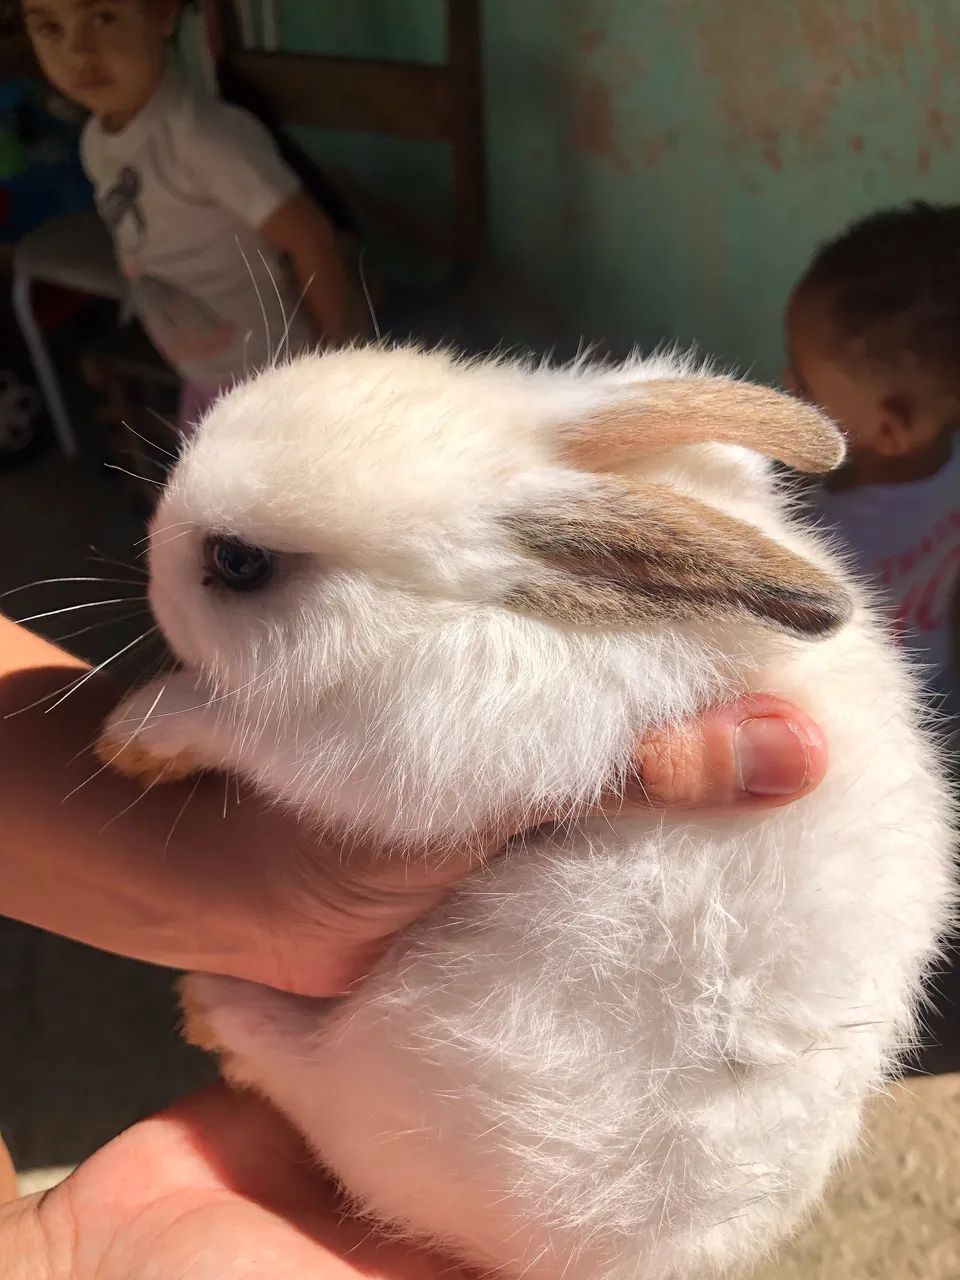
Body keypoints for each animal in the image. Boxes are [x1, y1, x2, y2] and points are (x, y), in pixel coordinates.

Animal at [97, 345, 954, 1280]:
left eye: (241, 562)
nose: (150, 569)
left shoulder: (399, 749)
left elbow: (248, 732)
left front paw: (138, 733)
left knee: (308, 1081)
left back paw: (218, 1012)